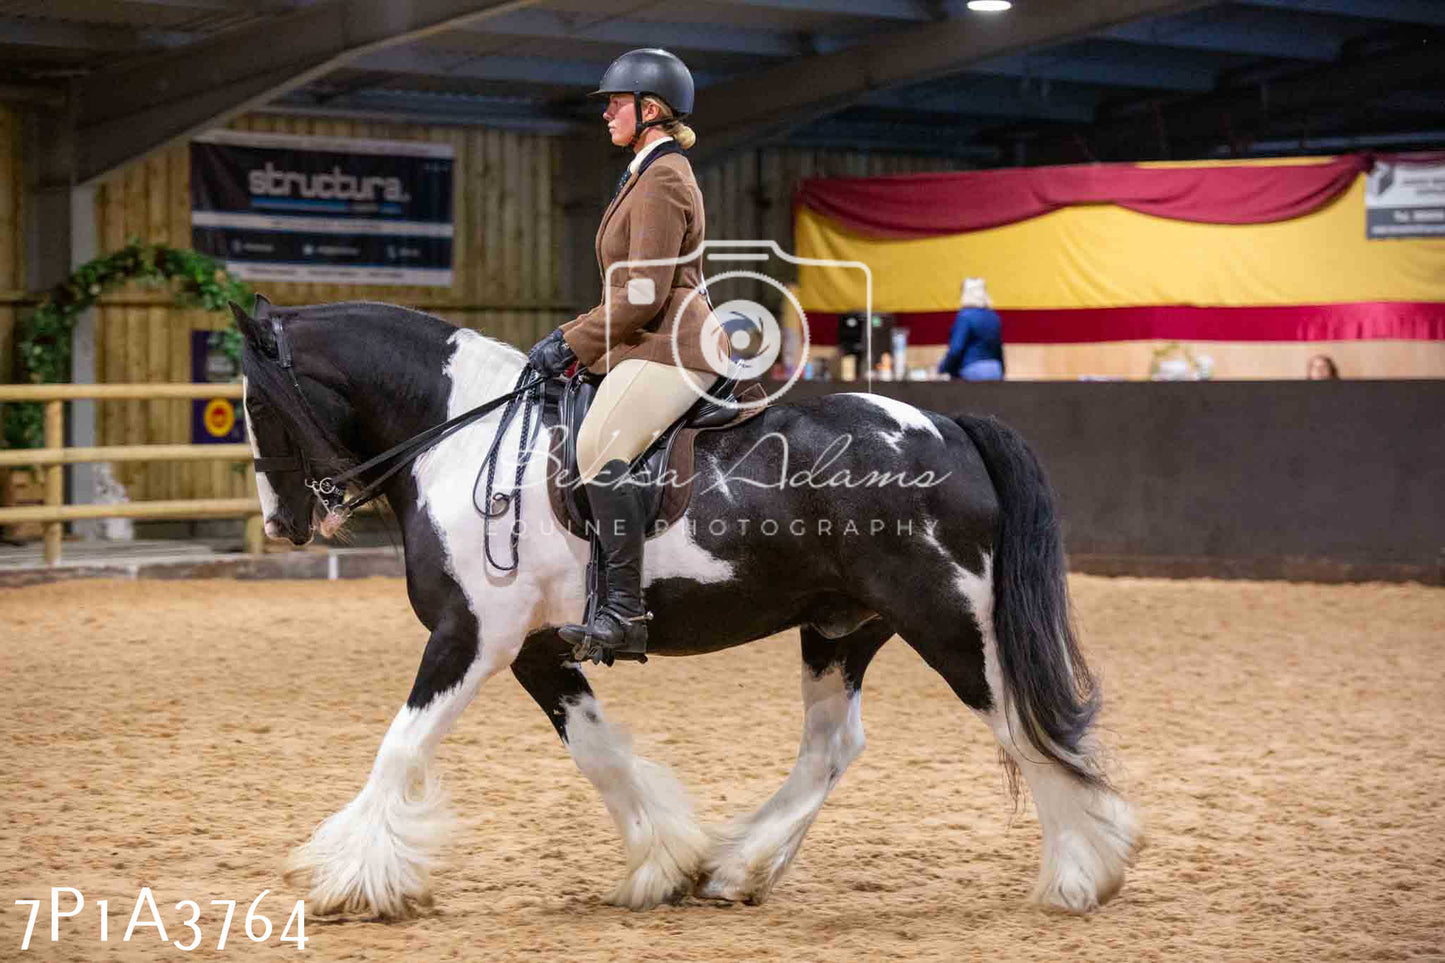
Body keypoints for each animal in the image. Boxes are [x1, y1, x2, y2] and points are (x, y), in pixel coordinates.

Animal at [234, 296, 1138, 919]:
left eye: (255, 404)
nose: (282, 524)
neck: (462, 441)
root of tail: (947, 426)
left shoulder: (470, 638)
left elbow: (399, 747)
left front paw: (346, 877)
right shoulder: (536, 648)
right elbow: (598, 753)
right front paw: (661, 862)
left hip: (948, 624)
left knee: (1020, 724)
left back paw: (1080, 874)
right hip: (840, 626)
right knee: (832, 745)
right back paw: (738, 869)